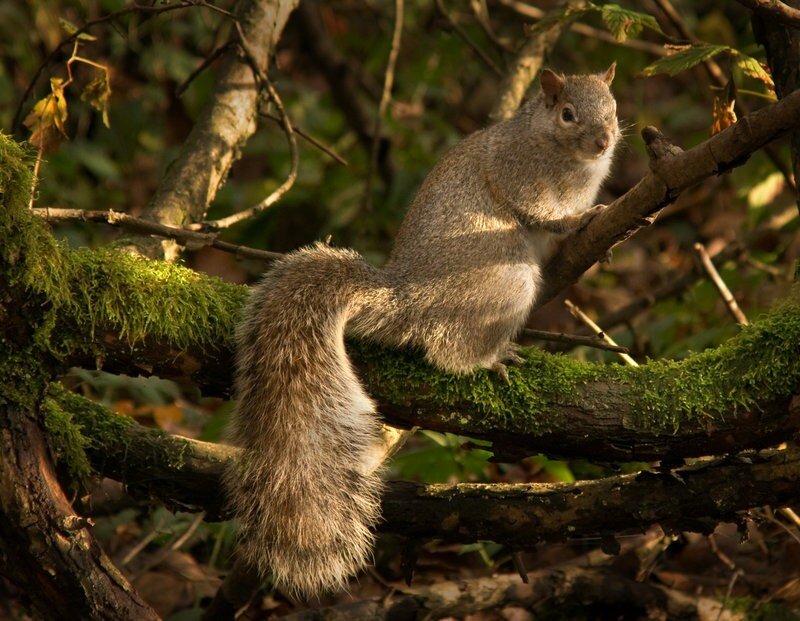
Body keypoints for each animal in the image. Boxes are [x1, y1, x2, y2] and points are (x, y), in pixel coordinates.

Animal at [224, 65, 620, 598]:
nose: (603, 142)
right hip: (504, 278)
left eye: (613, 107)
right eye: (568, 114)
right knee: (446, 349)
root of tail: (410, 295)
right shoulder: (520, 172)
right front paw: (583, 220)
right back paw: (490, 358)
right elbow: (540, 213)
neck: (566, 157)